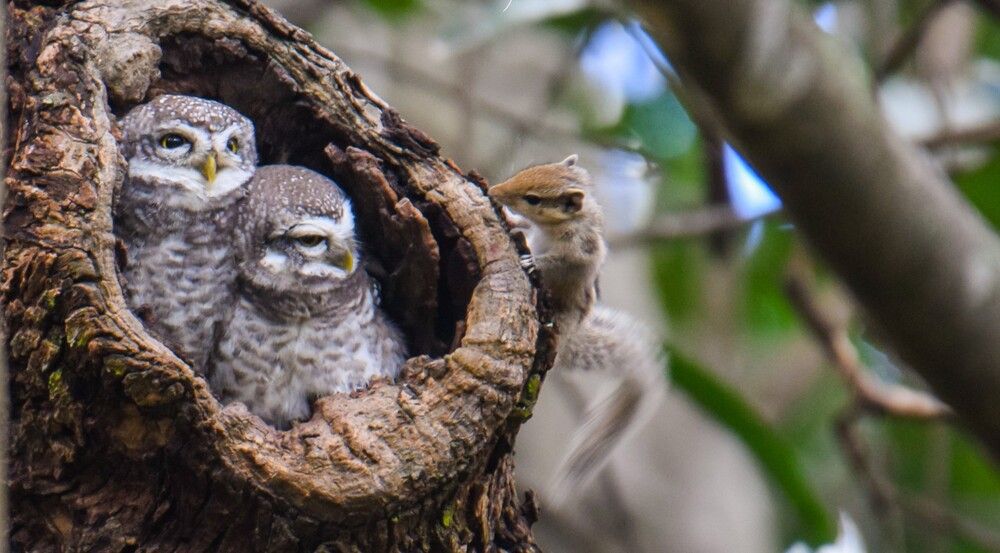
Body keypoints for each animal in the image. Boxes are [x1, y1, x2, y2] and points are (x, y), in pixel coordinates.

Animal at [489, 155, 667, 504]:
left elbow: (556, 261)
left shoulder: (578, 252)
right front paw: (513, 221)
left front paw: (533, 262)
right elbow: (527, 229)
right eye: (524, 172)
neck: (559, 225)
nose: (494, 190)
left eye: (533, 198)